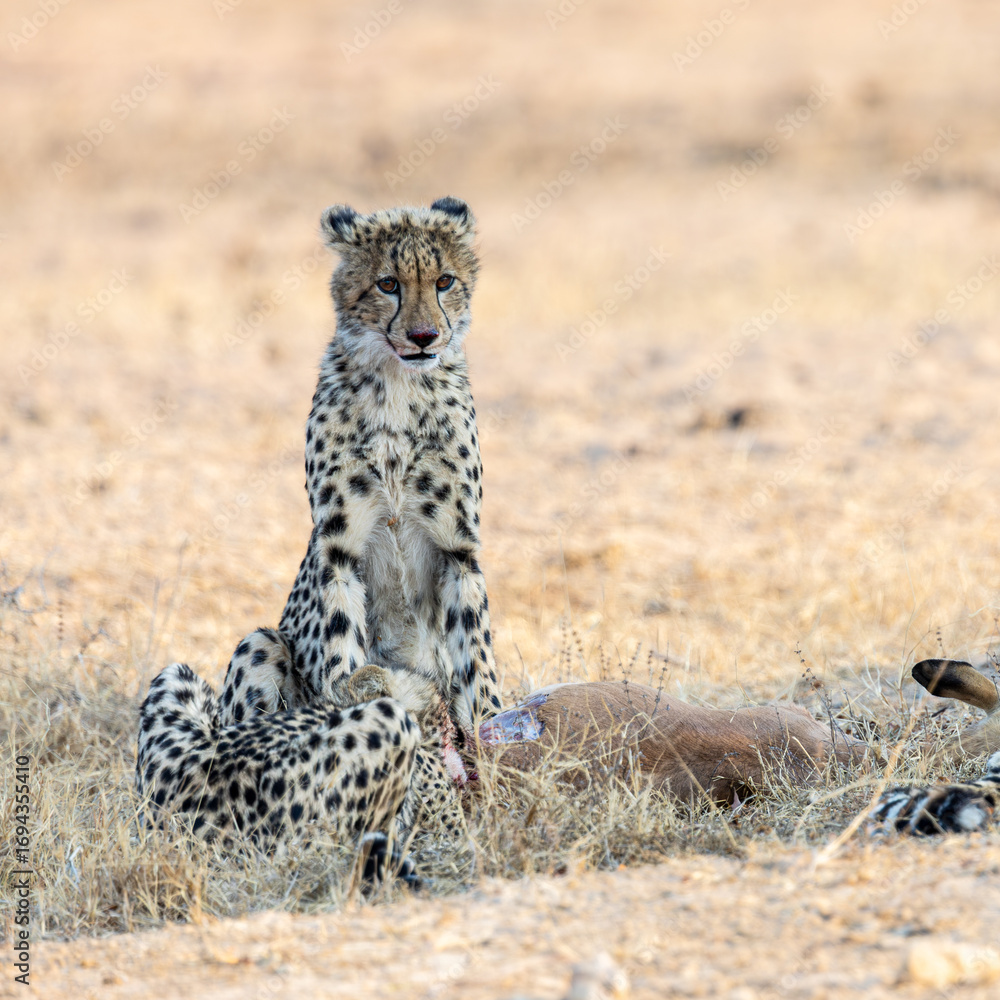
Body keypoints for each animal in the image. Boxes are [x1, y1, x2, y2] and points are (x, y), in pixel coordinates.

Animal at [136, 197, 503, 873]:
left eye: (444, 281)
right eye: (388, 284)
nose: (424, 337)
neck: (399, 385)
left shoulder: (459, 550)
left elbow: (480, 664)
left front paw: (498, 749)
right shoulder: (337, 549)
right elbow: (341, 652)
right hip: (258, 645)